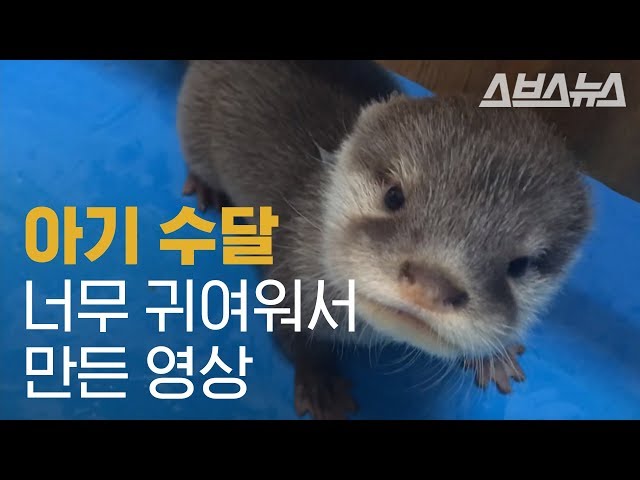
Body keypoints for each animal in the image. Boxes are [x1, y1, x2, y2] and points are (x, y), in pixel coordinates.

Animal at [176, 61, 596, 420]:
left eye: (520, 265)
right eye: (394, 196)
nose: (431, 284)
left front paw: (496, 356)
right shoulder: (288, 275)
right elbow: (292, 337)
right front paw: (322, 386)